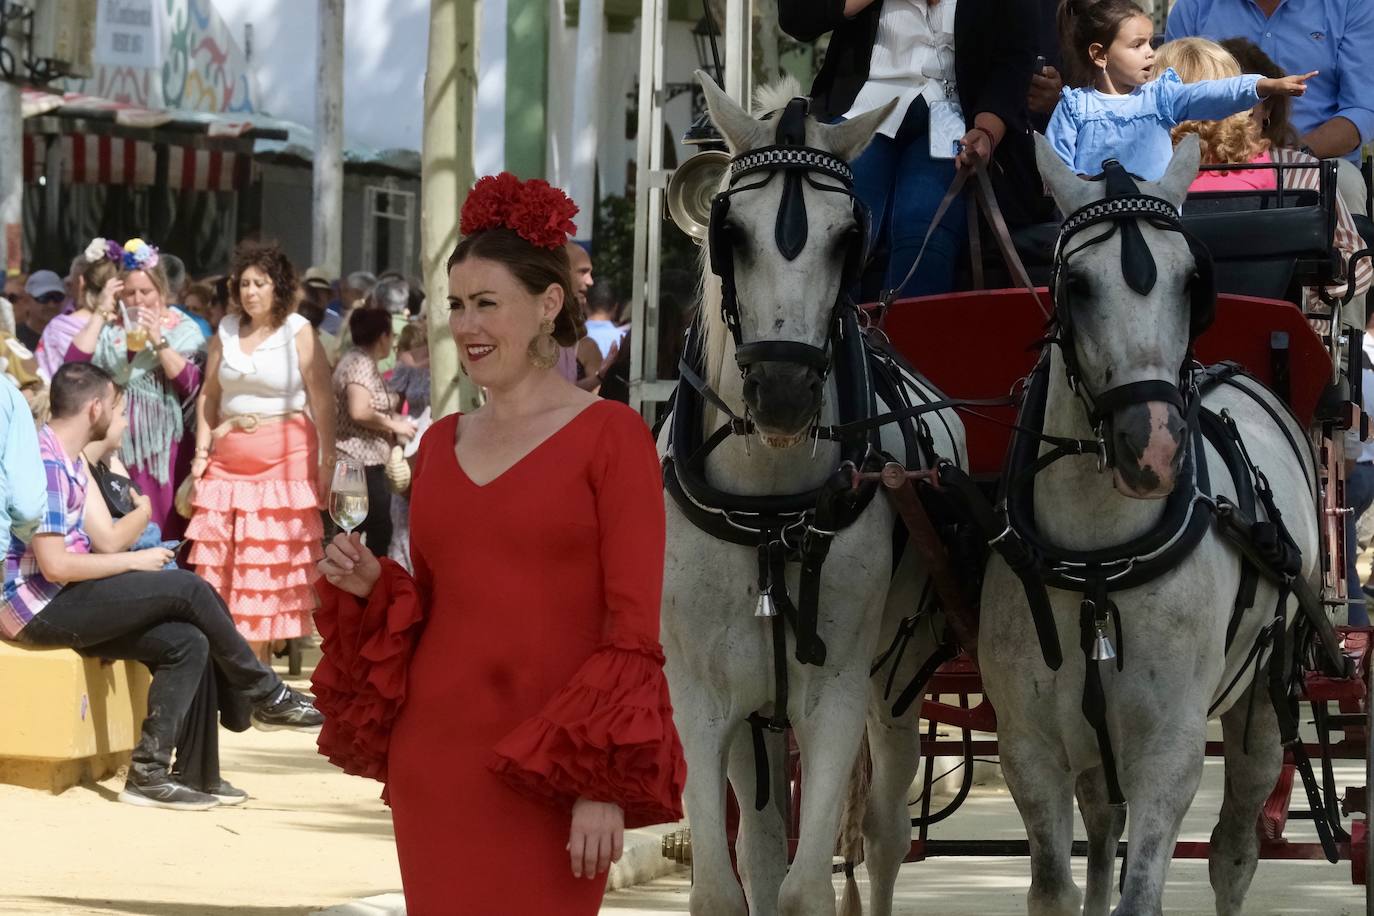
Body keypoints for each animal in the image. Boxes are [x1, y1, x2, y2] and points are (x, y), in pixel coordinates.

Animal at [662, 73, 967, 916]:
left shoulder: (834, 697)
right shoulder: (702, 698)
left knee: (885, 834)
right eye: (730, 232)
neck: (768, 512)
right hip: (759, 712)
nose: (783, 391)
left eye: (846, 238)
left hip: (897, 685)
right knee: (764, 844)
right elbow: (723, 885)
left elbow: (806, 890)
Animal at [978, 135, 1319, 916]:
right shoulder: (1030, 749)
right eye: (1076, 285)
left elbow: (1144, 895)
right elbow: (1055, 887)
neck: (1097, 557)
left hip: (1263, 700)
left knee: (1233, 853)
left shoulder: (1169, 750)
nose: (1154, 447)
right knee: (1105, 829)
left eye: (1193, 282)